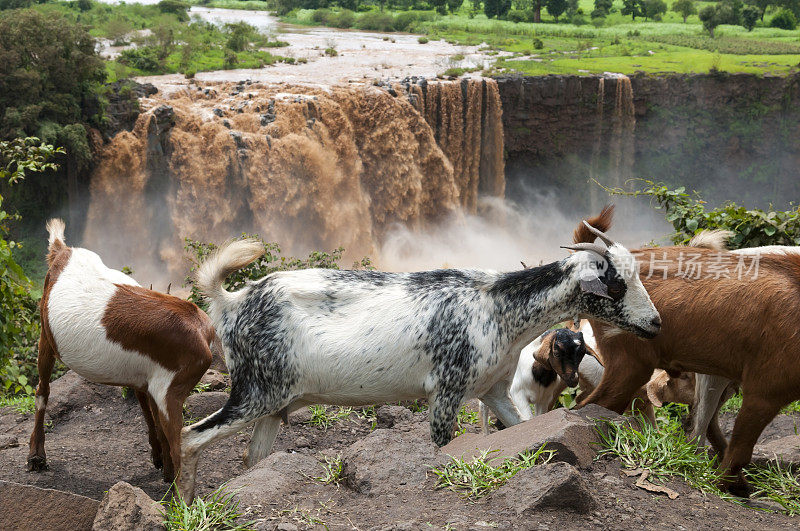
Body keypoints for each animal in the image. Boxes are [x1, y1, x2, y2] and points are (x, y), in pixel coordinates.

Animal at [30, 218, 214, 484]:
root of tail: (62, 251)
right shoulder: (165, 383)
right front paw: (167, 471)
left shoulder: (151, 377)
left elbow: (149, 412)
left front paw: (162, 463)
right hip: (46, 334)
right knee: (42, 388)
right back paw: (36, 456)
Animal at [180, 227, 664, 500]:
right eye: (615, 283)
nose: (656, 323)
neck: (498, 308)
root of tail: (233, 301)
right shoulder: (447, 389)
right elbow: (440, 448)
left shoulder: (494, 391)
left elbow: (520, 429)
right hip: (256, 392)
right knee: (188, 437)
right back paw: (183, 500)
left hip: (274, 404)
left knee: (252, 458)